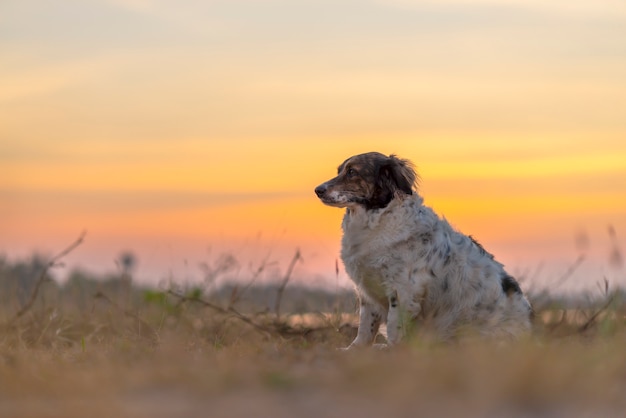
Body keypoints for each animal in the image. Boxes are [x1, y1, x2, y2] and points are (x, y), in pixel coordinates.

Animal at [314, 152, 528, 348]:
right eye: (339, 171)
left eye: (352, 172)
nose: (318, 190)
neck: (376, 222)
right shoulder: (367, 291)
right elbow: (366, 327)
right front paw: (355, 349)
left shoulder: (403, 290)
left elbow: (393, 327)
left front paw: (391, 350)